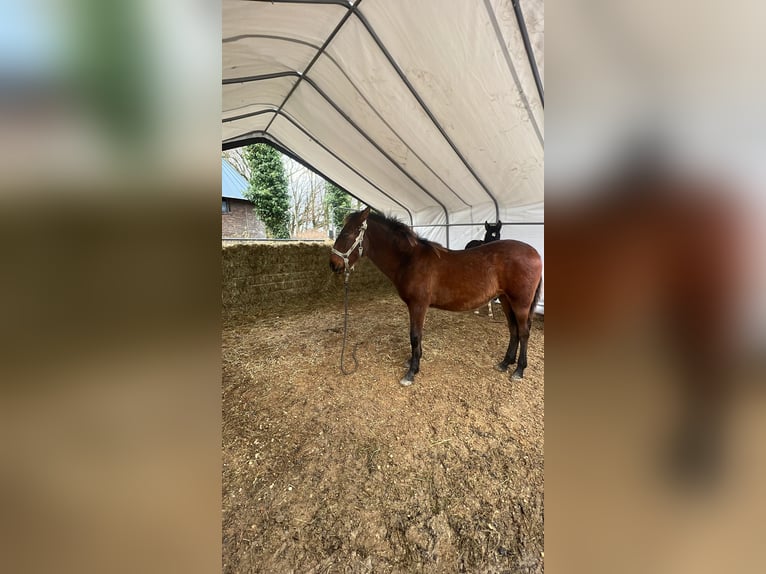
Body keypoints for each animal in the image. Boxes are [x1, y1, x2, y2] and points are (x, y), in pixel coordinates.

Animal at [332, 207, 544, 388]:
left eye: (347, 234)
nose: (333, 264)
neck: (409, 259)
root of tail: (535, 253)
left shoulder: (418, 305)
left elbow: (415, 336)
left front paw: (411, 372)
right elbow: (417, 335)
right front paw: (414, 360)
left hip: (521, 303)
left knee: (524, 332)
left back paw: (518, 370)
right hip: (507, 300)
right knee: (513, 330)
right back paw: (505, 363)